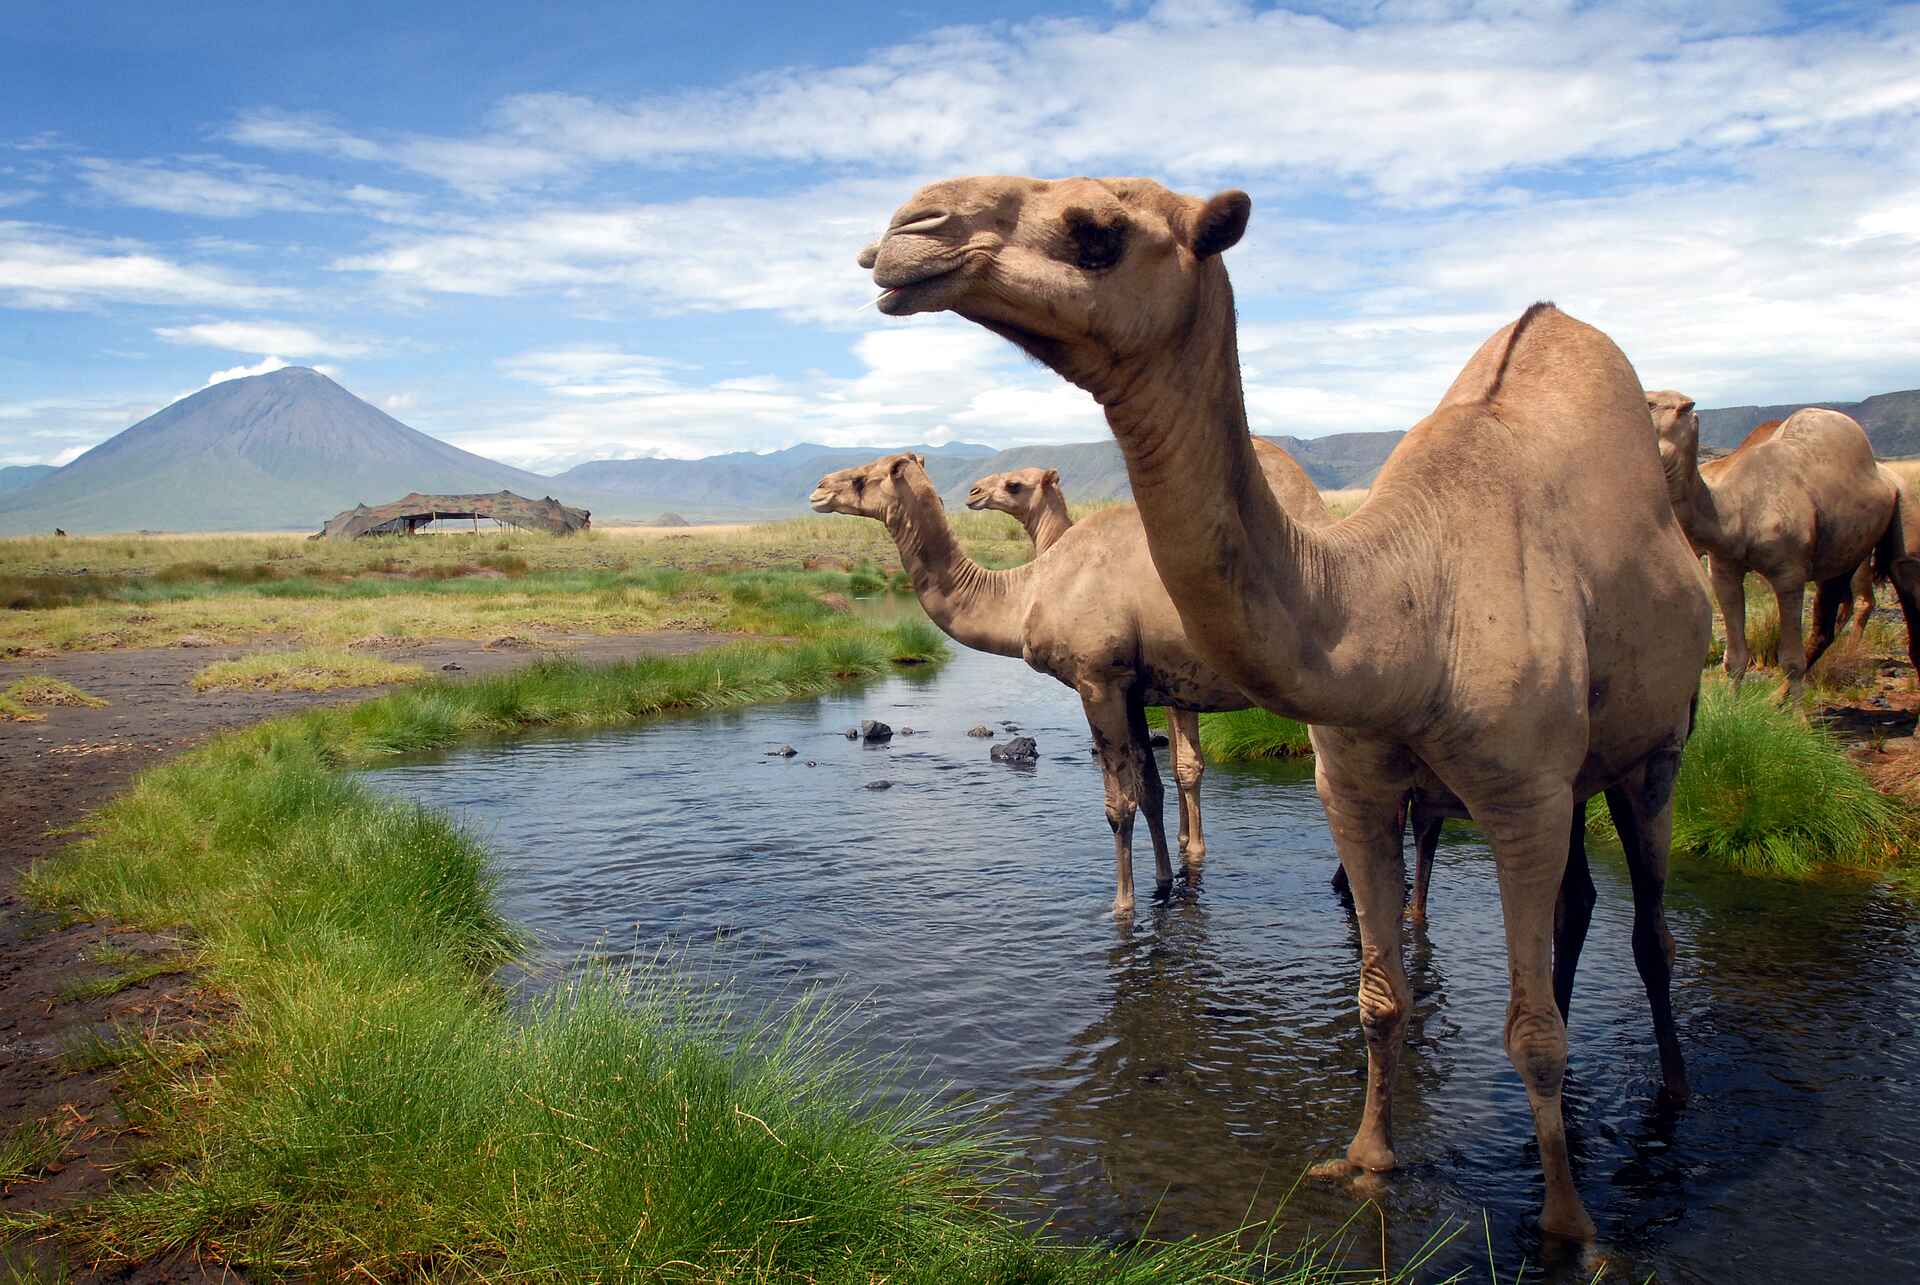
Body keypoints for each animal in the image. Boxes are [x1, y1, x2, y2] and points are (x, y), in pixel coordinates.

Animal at [967, 462, 1445, 922]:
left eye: (1014, 484)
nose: (974, 492)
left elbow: (1185, 767)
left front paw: (1189, 851)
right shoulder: (1166, 691)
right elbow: (1176, 770)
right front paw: (1183, 846)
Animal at [1649, 393, 1918, 692]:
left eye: (1651, 403)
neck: (1732, 508)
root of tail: (1886, 475)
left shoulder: (1790, 573)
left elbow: (1790, 660)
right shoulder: (1724, 568)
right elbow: (1735, 659)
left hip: (1902, 513)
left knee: (1899, 576)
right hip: (1843, 555)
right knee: (1827, 622)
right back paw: (1779, 696)